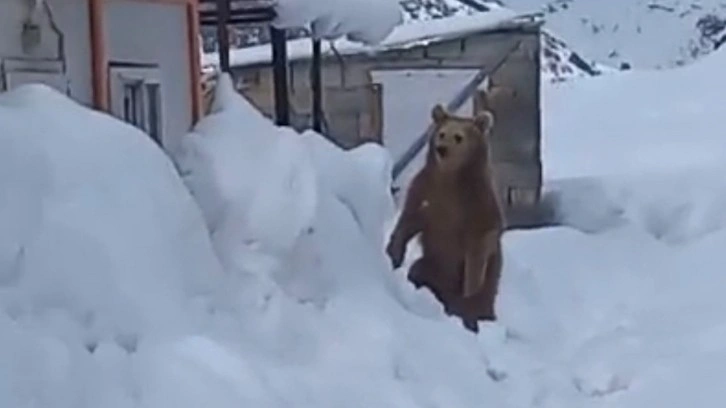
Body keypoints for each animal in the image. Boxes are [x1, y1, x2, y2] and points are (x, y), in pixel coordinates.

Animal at [386, 103, 506, 334]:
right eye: (441, 133)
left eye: (458, 137)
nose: (442, 148)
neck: (450, 178)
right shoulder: (425, 192)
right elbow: (409, 220)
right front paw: (393, 253)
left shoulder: (478, 206)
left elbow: (478, 246)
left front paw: (469, 288)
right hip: (433, 265)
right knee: (419, 270)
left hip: (488, 282)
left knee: (479, 301)